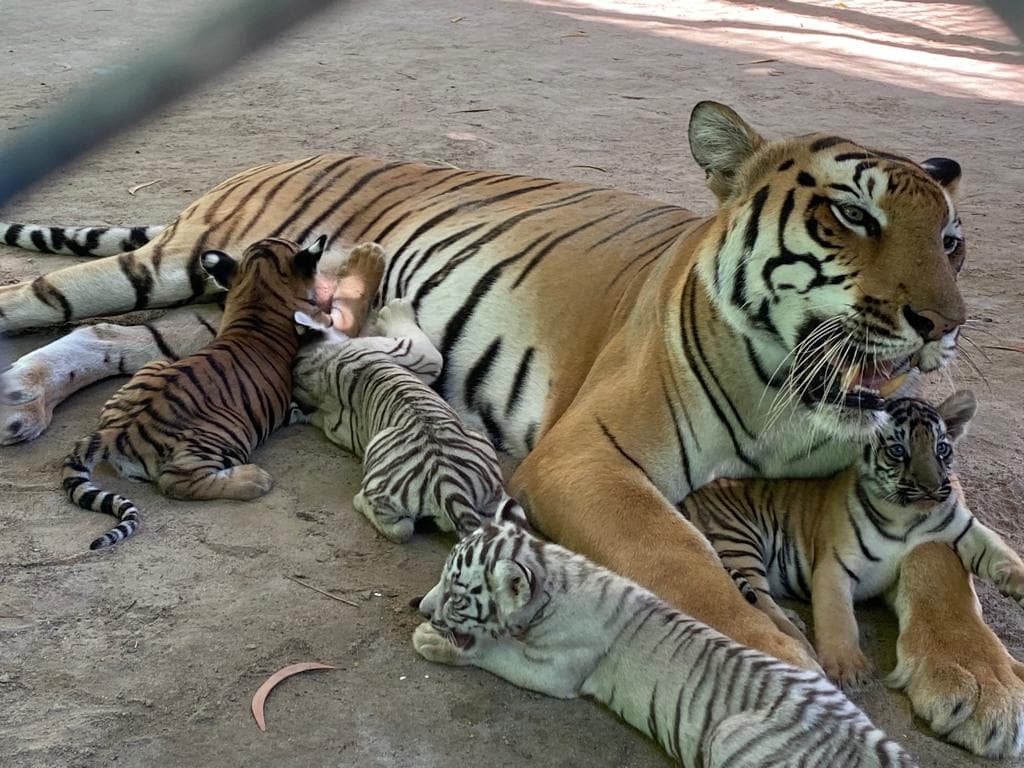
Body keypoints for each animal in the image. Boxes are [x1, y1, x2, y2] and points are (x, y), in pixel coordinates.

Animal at [61, 236, 329, 549]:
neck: (257, 298)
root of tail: (118, 432)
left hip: (154, 366)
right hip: (224, 436)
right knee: (177, 482)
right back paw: (254, 479)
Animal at [288, 244, 505, 541]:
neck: (320, 367)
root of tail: (450, 487)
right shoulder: (416, 355)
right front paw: (395, 310)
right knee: (401, 528)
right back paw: (360, 501)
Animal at [413, 503, 918, 768]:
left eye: (456, 594)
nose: (421, 608)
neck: (558, 573)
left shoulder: (556, 669)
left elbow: (494, 650)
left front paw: (430, 639)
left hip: (730, 737)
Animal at [682, 391, 1024, 688]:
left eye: (941, 448)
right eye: (898, 451)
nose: (931, 487)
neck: (906, 516)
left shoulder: (963, 528)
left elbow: (999, 550)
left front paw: (1018, 583)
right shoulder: (836, 566)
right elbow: (839, 618)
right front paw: (848, 668)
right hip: (738, 539)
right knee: (760, 601)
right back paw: (802, 645)